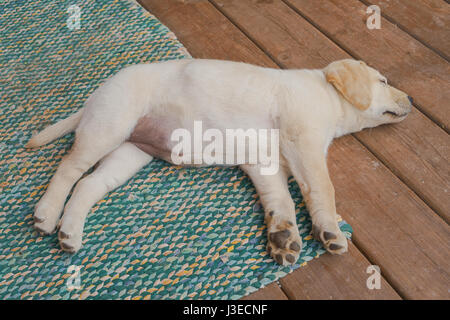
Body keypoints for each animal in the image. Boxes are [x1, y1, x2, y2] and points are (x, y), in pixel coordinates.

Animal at [27, 58, 412, 264]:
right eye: (382, 81)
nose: (410, 99)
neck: (328, 97)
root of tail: (96, 95)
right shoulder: (304, 141)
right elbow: (322, 189)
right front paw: (329, 230)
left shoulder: (265, 164)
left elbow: (280, 201)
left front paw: (283, 235)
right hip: (109, 126)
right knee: (68, 169)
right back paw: (47, 213)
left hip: (129, 153)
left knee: (88, 183)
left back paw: (70, 231)